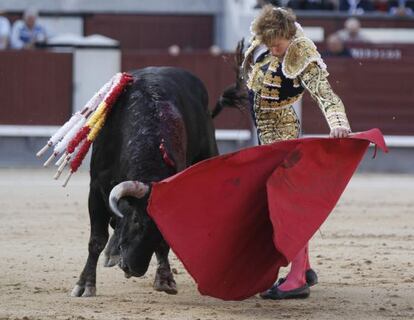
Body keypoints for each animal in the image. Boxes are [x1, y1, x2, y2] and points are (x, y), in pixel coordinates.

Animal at [71, 65, 247, 298]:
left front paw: (165, 279)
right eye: (137, 221)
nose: (134, 268)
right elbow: (97, 239)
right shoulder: (97, 188)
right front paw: (85, 285)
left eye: (163, 228)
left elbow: (162, 244)